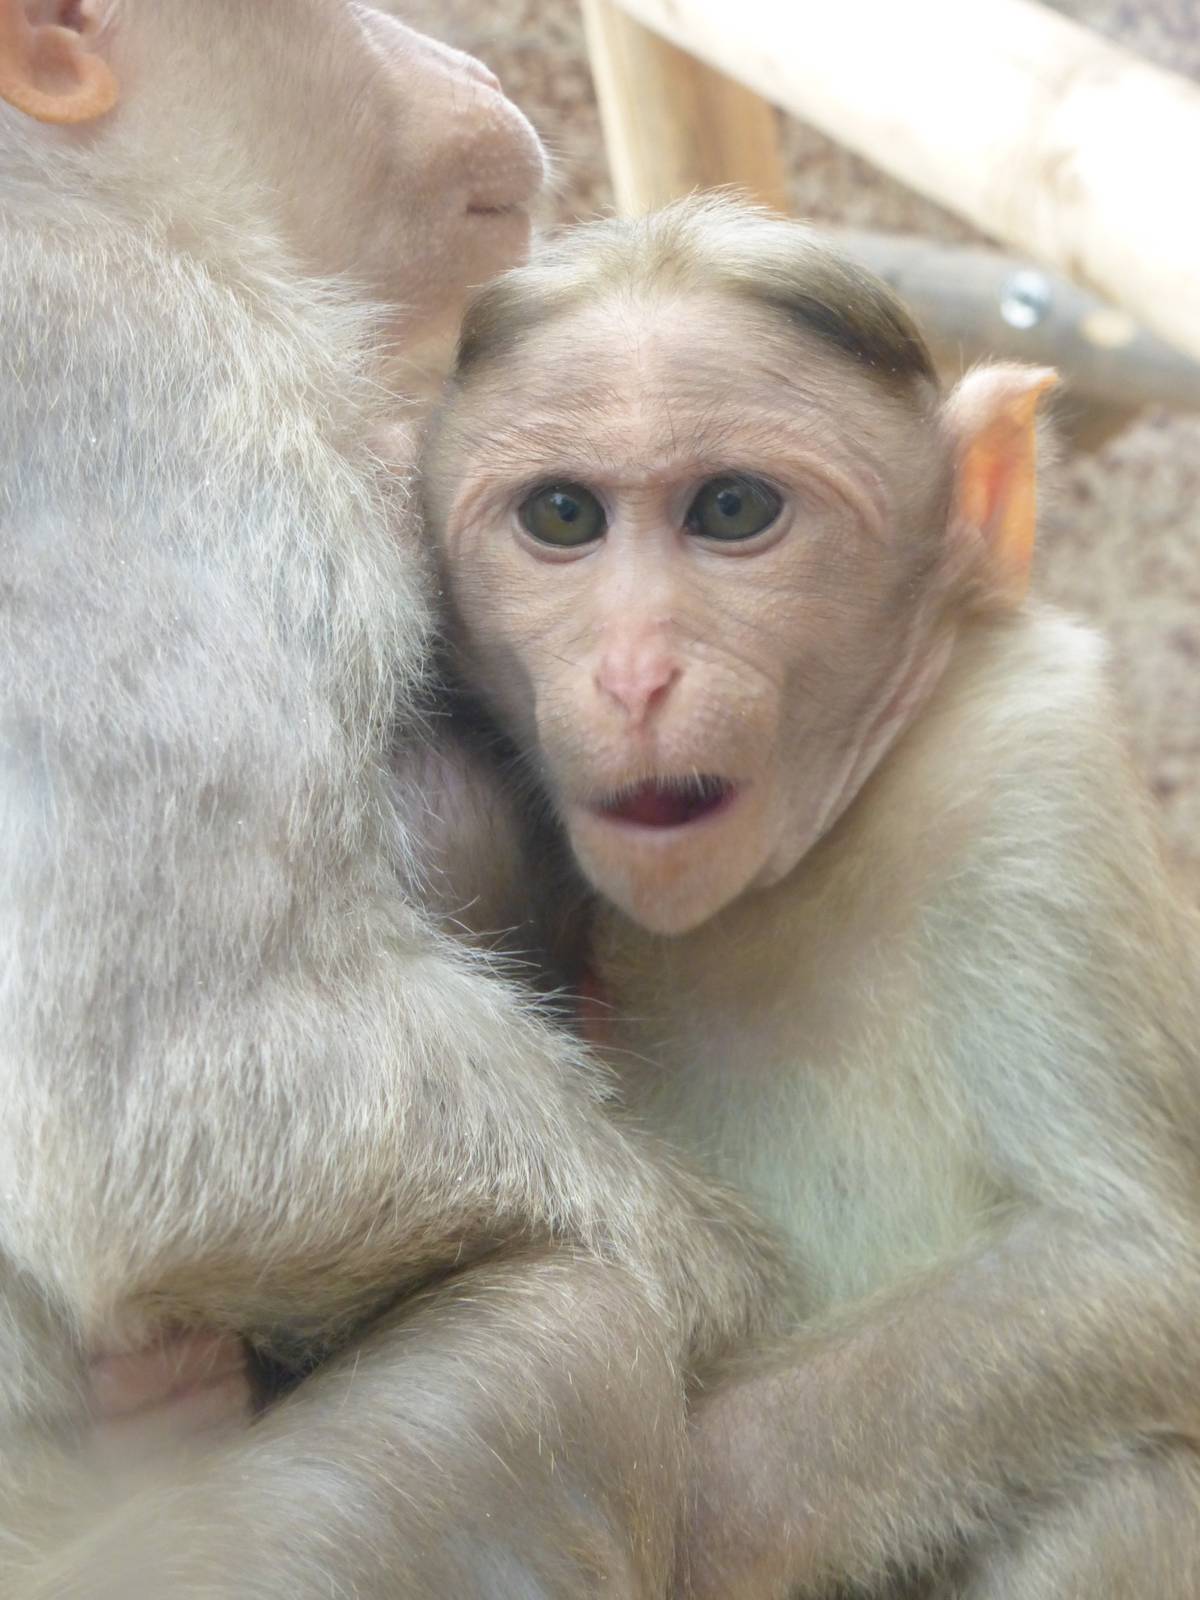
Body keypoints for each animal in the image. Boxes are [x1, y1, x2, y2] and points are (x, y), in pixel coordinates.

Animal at [423, 195, 1200, 1600]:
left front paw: (690, 1518)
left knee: (1129, 1482)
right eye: (562, 517)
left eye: (733, 508)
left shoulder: (1033, 770)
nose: (633, 674)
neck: (803, 864)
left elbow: (1135, 1266)